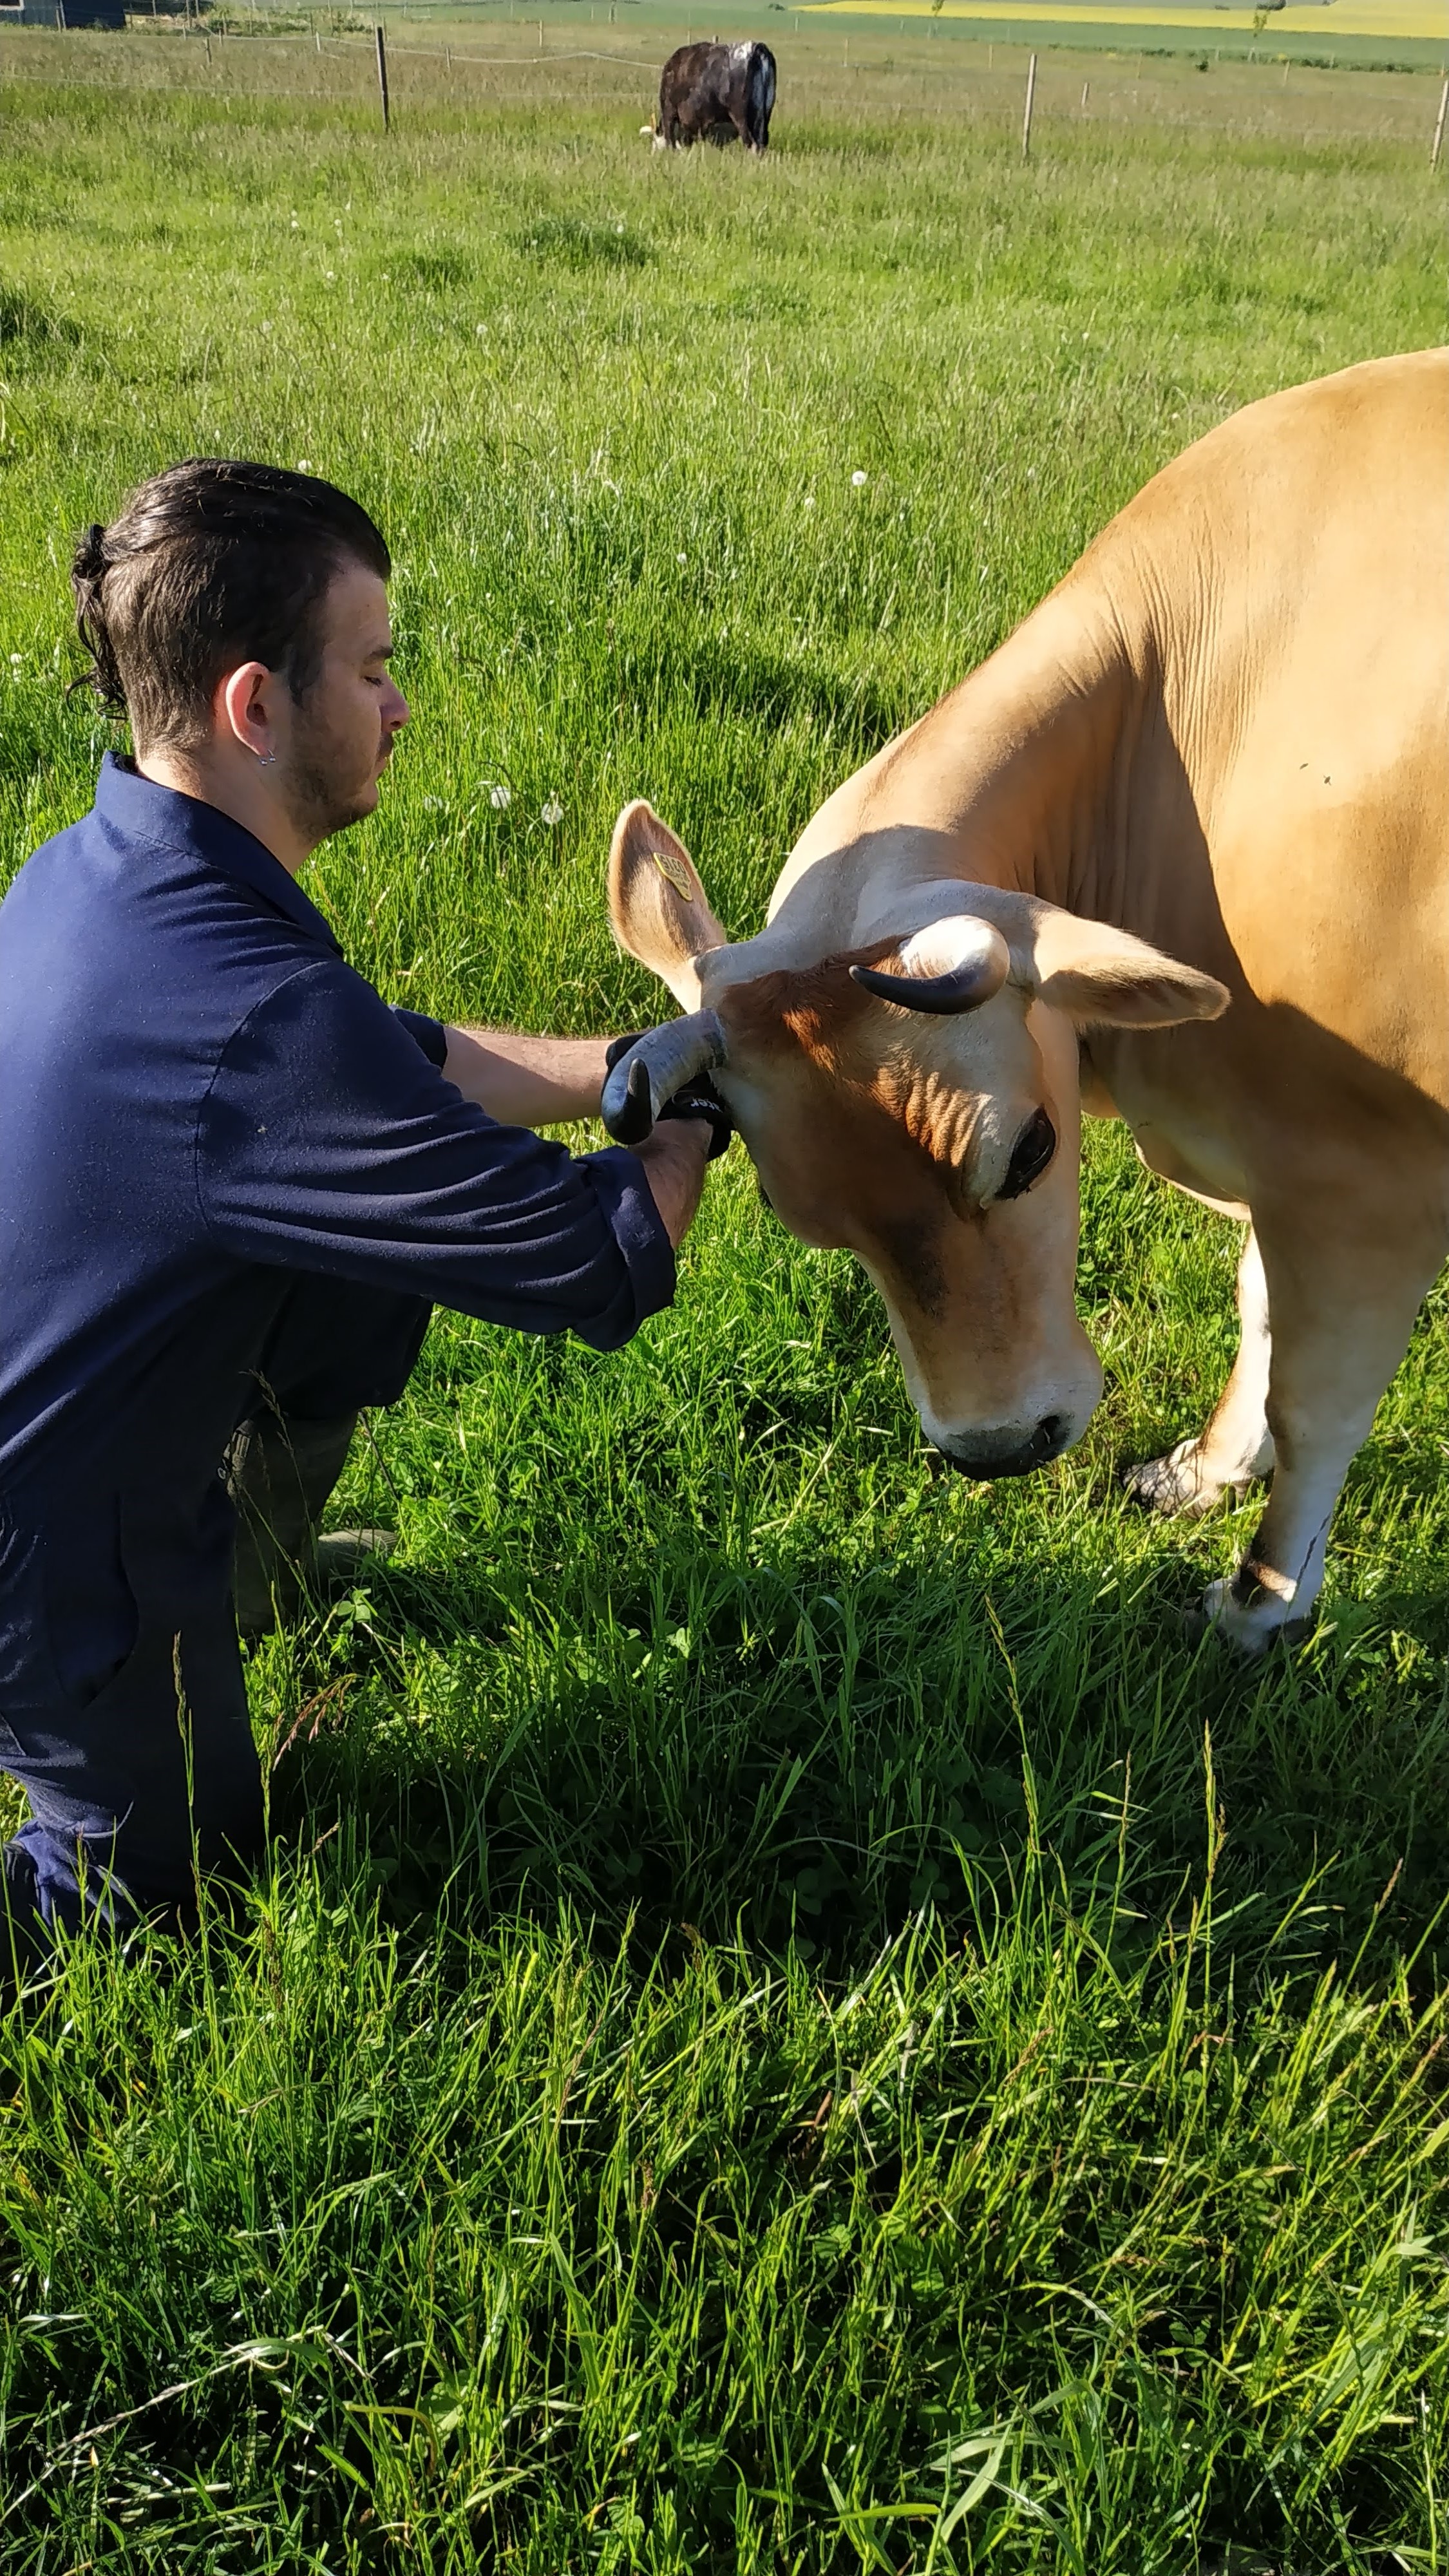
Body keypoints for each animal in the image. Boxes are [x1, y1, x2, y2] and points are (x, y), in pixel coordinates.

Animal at [601, 349, 1449, 1653]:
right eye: (809, 1219)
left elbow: (1317, 1407)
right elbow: (1258, 1311)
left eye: (1031, 1153)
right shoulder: (1283, 1172)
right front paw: (1208, 1470)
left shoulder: (1366, 1185)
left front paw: (1260, 1600)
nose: (1000, 1448)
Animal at [650, 41, 777, 152]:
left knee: (751, 143)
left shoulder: (669, 111)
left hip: (742, 117)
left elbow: (670, 139)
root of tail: (757, 48)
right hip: (764, 116)